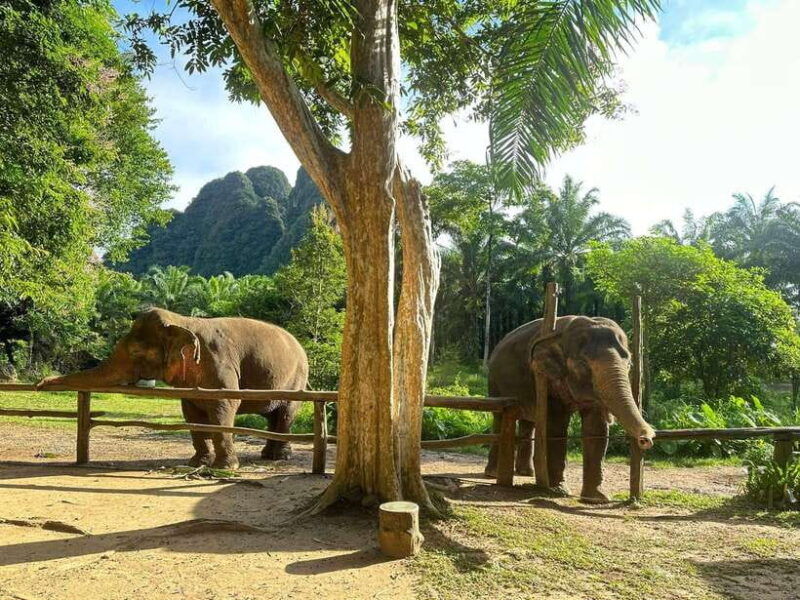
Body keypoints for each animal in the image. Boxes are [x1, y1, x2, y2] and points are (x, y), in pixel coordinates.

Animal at [37, 307, 309, 470]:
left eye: (136, 352)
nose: (40, 383)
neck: (182, 320)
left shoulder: (220, 364)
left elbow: (225, 406)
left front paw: (226, 468)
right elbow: (191, 413)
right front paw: (197, 463)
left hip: (297, 378)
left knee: (286, 414)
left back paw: (280, 457)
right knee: (272, 415)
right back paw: (267, 455)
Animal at [485, 315, 655, 503]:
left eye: (629, 364)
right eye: (582, 364)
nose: (646, 439)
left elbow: (596, 429)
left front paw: (597, 498)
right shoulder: (545, 378)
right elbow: (556, 426)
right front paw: (559, 491)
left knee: (527, 422)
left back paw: (526, 473)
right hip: (494, 383)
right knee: (499, 417)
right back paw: (493, 474)